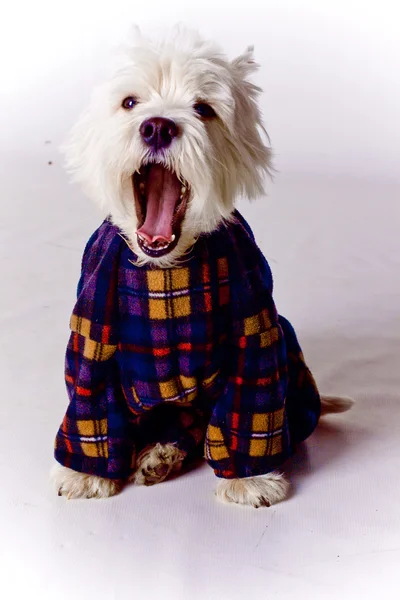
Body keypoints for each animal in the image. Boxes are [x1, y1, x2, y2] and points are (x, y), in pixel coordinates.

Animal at [51, 27, 352, 506]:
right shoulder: (92, 336)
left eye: (204, 109)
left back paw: (164, 454)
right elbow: (90, 403)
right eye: (130, 102)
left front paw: (249, 480)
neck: (165, 272)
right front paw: (83, 474)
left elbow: (250, 408)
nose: (158, 126)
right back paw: (159, 455)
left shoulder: (257, 334)